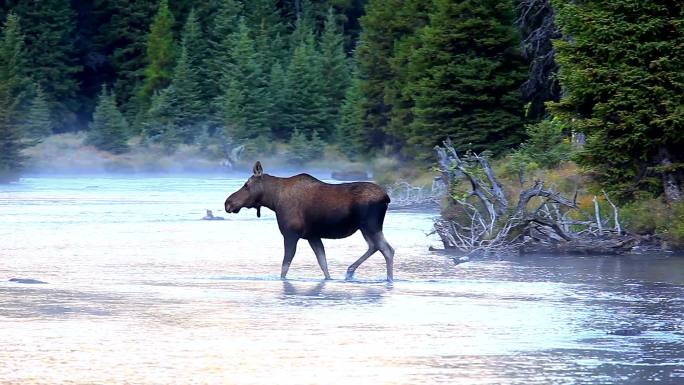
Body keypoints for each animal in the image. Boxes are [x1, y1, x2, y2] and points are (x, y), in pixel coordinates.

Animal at [224, 160, 396, 280]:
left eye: (246, 185)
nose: (228, 203)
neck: (273, 201)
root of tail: (386, 197)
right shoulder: (312, 236)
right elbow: (323, 263)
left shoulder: (291, 234)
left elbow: (285, 266)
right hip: (365, 227)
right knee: (375, 246)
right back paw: (350, 271)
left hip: (370, 225)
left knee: (387, 249)